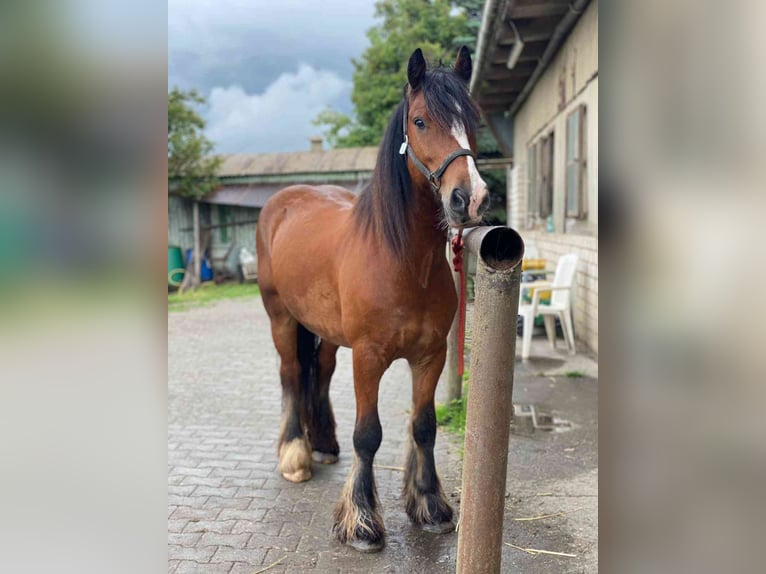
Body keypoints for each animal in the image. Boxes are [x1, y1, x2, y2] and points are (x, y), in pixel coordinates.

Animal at [255, 46, 488, 552]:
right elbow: (368, 434)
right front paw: (361, 522)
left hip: (324, 330)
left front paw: (431, 507)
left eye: (472, 120)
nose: (471, 198)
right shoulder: (369, 357)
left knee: (319, 372)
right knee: (291, 373)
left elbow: (424, 426)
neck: (401, 259)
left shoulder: (430, 355)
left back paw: (323, 445)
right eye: (420, 121)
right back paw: (295, 455)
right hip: (281, 318)